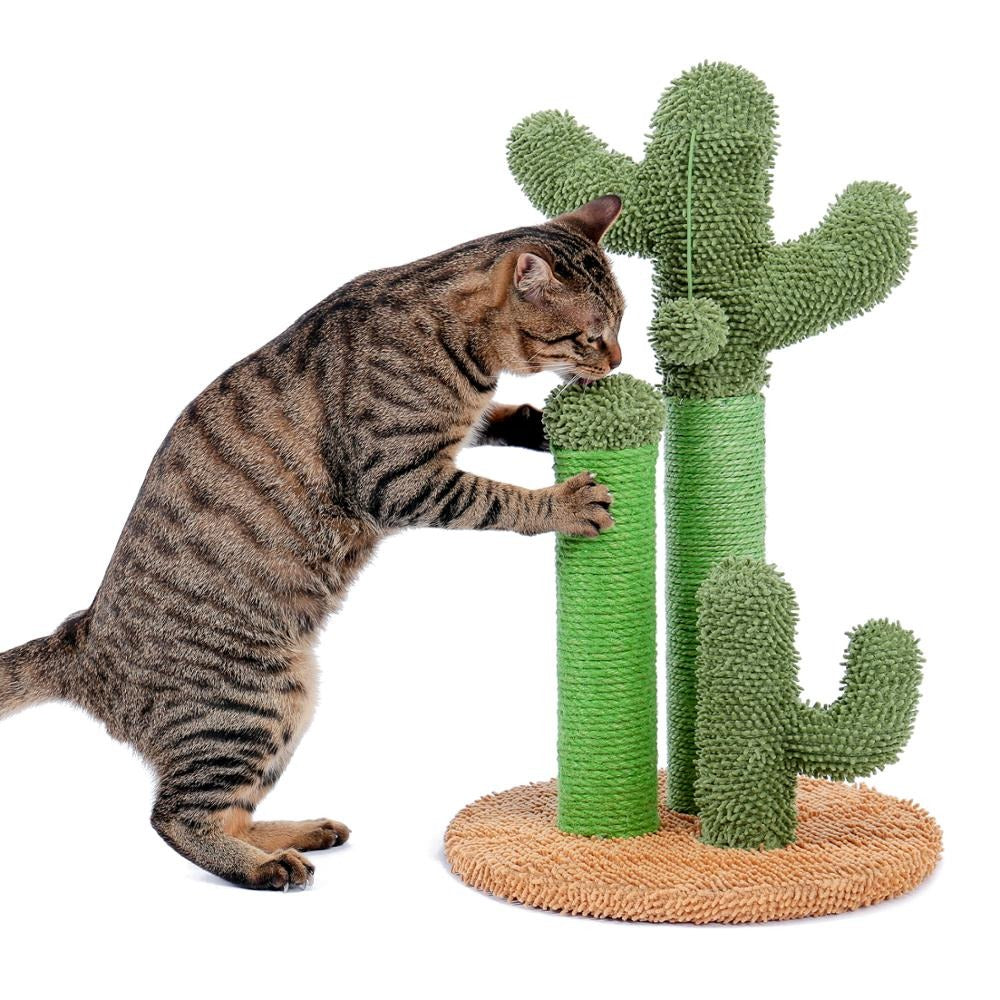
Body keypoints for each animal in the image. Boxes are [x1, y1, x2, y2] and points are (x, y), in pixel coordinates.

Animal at [0, 195, 624, 892]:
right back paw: (266, 867)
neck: (457, 343)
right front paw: (564, 502)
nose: (619, 361)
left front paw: (532, 422)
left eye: (623, 322)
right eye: (591, 335)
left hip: (282, 711)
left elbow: (488, 422)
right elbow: (498, 499)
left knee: (231, 812)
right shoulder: (398, 480)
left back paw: (298, 835)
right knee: (176, 816)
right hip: (252, 702)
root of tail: (79, 638)